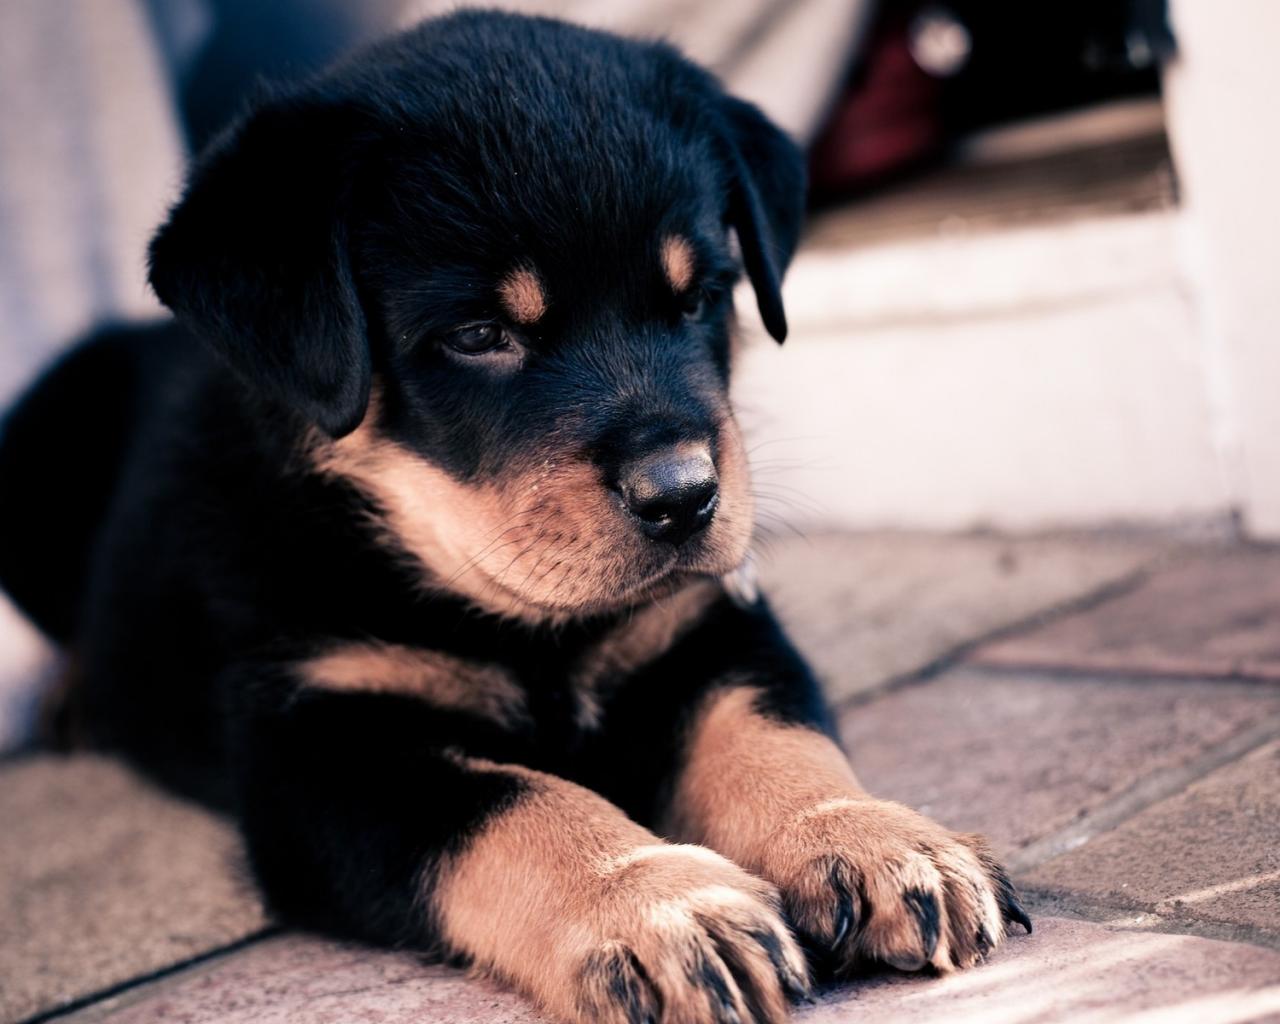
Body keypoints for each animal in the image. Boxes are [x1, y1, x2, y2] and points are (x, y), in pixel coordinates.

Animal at [0, 11, 1028, 1023]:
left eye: (701, 297)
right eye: (478, 335)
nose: (684, 494)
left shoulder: (710, 625)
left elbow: (775, 736)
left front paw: (873, 839)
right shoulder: (317, 748)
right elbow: (515, 804)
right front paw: (658, 903)